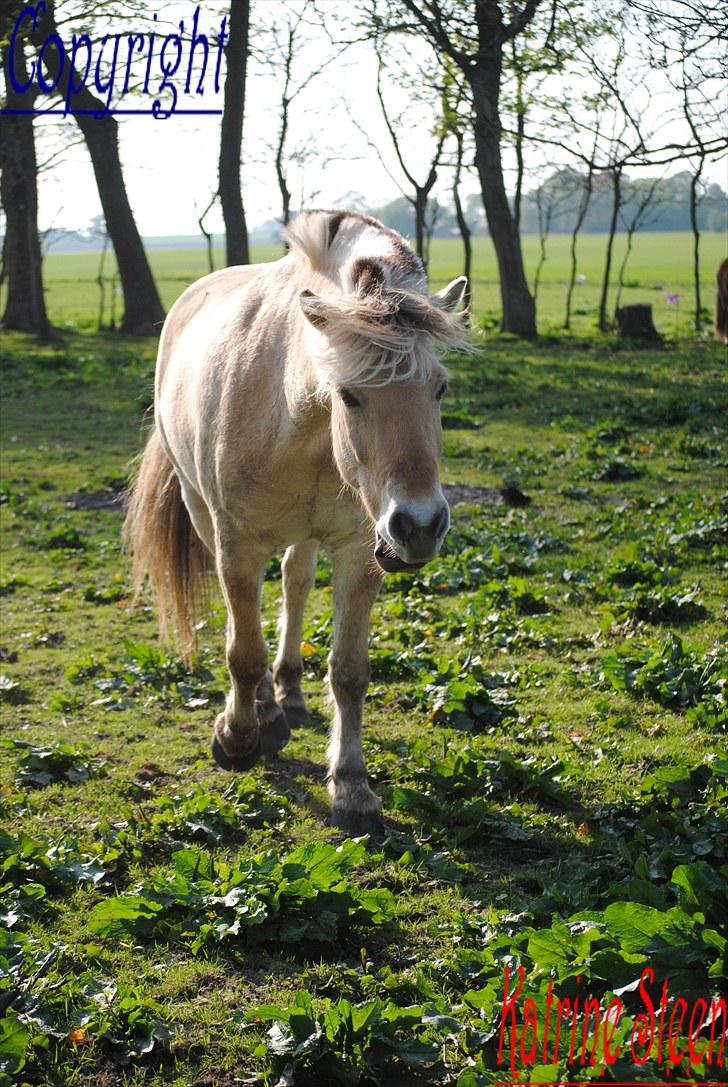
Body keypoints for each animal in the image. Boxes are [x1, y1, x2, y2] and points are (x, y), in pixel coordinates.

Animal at [125, 214, 467, 839]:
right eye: (350, 394)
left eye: (440, 388)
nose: (420, 525)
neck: (295, 408)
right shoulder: (237, 545)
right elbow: (242, 652)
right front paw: (237, 739)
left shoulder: (360, 551)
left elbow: (350, 671)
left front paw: (352, 787)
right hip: (202, 514)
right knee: (249, 618)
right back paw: (266, 712)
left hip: (312, 539)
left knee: (295, 582)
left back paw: (289, 693)